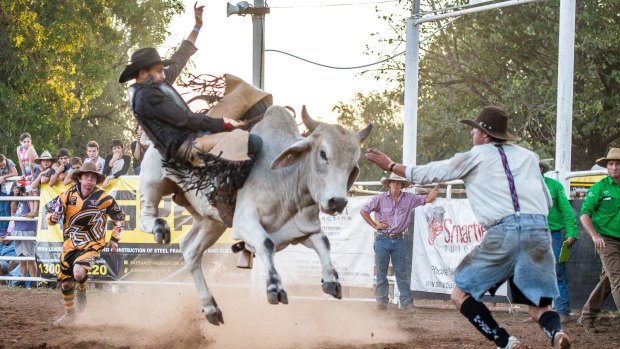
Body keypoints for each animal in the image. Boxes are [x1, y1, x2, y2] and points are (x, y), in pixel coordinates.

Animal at [138, 105, 370, 324]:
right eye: (323, 154)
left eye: (353, 165)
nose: (338, 202)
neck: (285, 178)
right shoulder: (244, 222)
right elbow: (266, 243)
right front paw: (275, 288)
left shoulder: (299, 229)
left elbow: (324, 242)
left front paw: (332, 281)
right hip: (153, 182)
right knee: (146, 217)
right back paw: (159, 227)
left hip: (211, 222)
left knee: (190, 250)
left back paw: (210, 308)